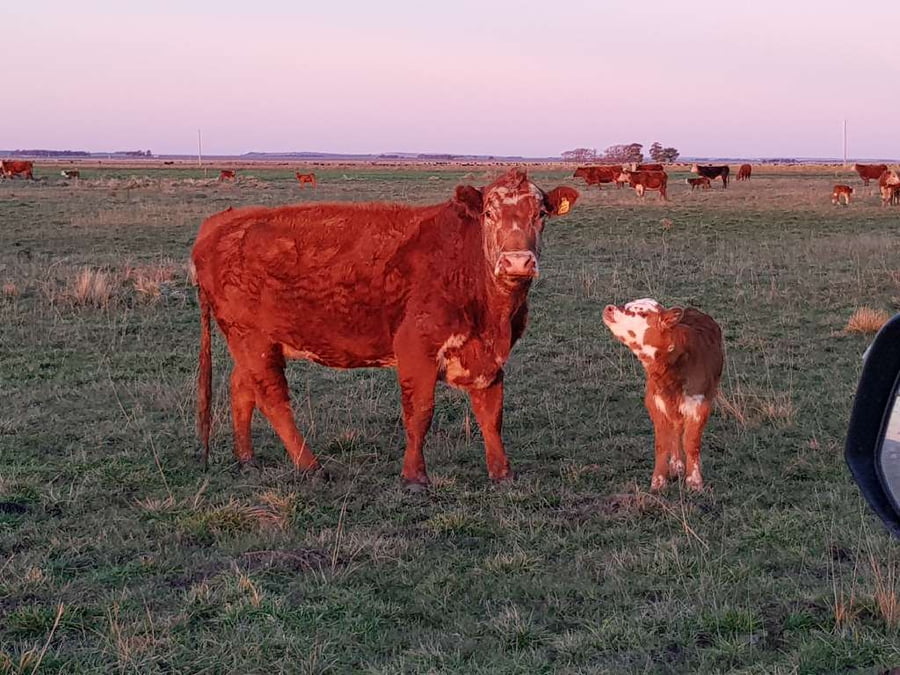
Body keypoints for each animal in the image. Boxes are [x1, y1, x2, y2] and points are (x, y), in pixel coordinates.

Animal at [191, 169, 579, 486]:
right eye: (488, 214)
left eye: (540, 214)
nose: (517, 262)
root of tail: (221, 222)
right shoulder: (416, 349)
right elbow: (419, 413)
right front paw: (414, 477)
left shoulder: (489, 357)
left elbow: (491, 413)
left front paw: (502, 473)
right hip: (252, 339)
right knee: (272, 399)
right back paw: (311, 466)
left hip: (254, 343)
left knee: (242, 389)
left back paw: (247, 459)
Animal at [602, 299, 723, 492]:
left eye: (643, 313)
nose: (609, 308)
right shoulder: (655, 401)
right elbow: (662, 444)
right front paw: (658, 481)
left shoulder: (699, 404)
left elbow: (691, 442)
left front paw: (694, 482)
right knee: (676, 428)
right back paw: (676, 465)